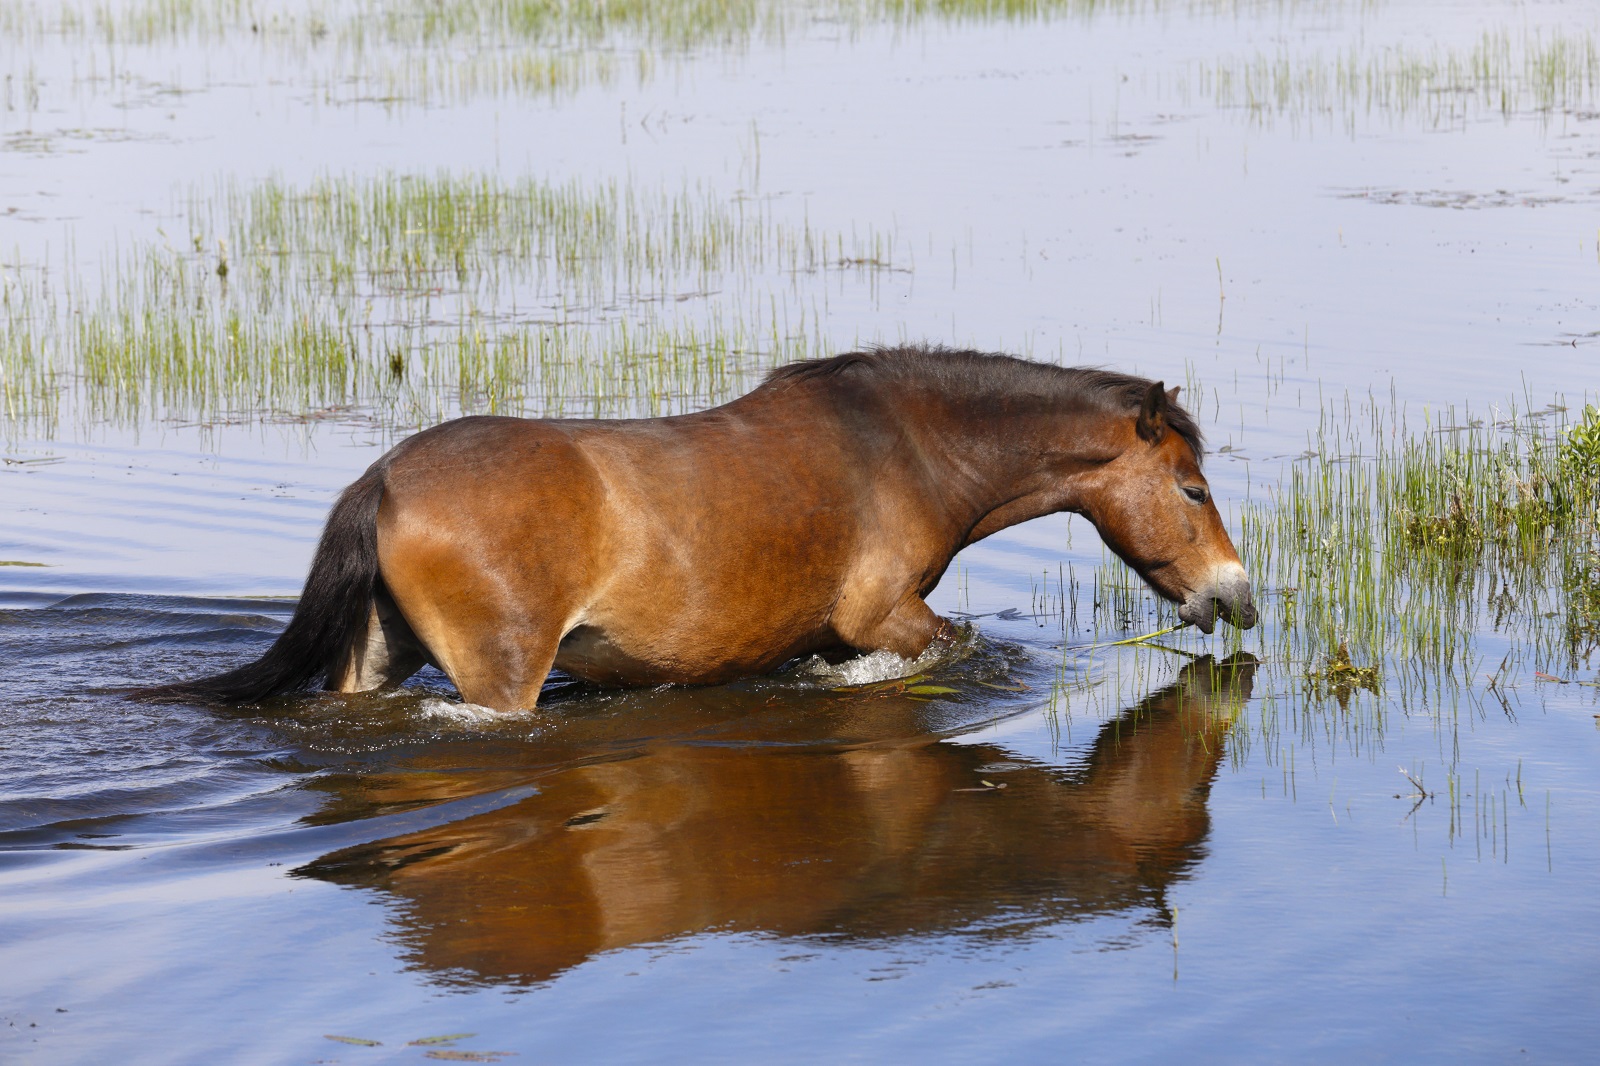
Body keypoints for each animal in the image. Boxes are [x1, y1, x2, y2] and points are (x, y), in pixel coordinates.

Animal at [144, 348, 1254, 710]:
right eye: (1192, 489)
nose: (1237, 596)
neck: (903, 447)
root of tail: (383, 480)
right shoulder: (883, 619)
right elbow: (955, 648)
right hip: (499, 679)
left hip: (380, 657)